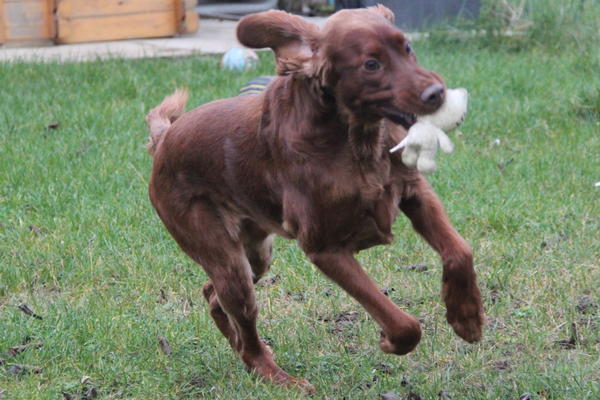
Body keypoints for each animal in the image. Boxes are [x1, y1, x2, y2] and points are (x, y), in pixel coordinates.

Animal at [148, 4, 486, 392]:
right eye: (371, 64)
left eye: (408, 47)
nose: (437, 94)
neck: (354, 142)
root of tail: (164, 139)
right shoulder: (324, 247)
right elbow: (402, 323)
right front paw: (391, 340)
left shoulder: (414, 192)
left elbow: (460, 250)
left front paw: (467, 317)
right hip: (225, 260)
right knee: (239, 316)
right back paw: (278, 376)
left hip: (256, 253)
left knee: (213, 297)